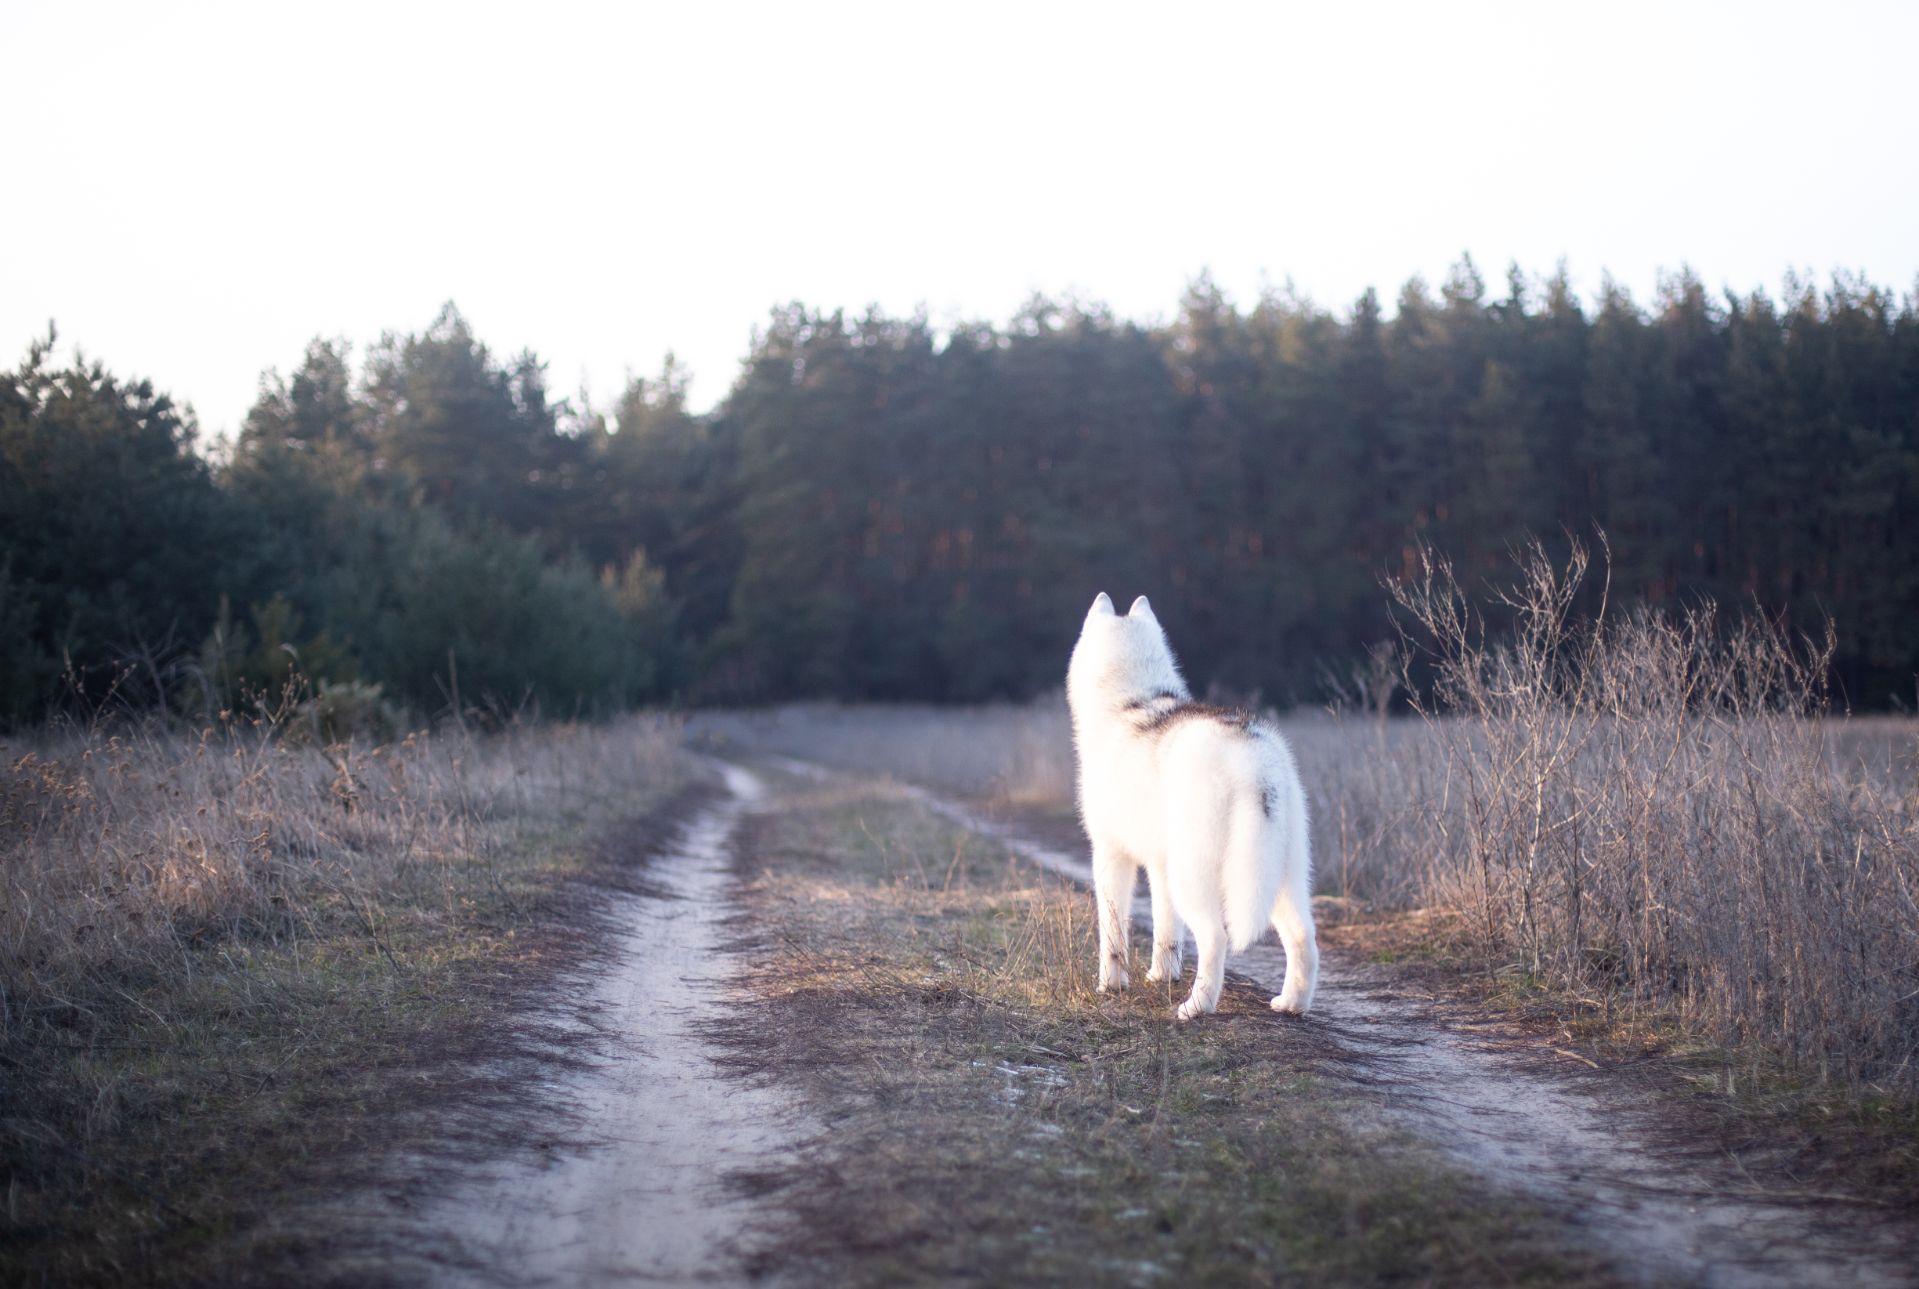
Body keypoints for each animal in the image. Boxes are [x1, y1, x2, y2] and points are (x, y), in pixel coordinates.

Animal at [1066, 590, 1320, 1020]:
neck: (1132, 700)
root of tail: (1252, 755)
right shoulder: (1158, 866)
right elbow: (1167, 934)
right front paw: (1161, 976)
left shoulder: (1111, 855)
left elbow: (1113, 936)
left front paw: (1110, 986)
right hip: (1281, 877)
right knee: (1304, 937)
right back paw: (1291, 1005)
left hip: (1195, 878)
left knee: (1216, 938)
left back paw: (1196, 1007)